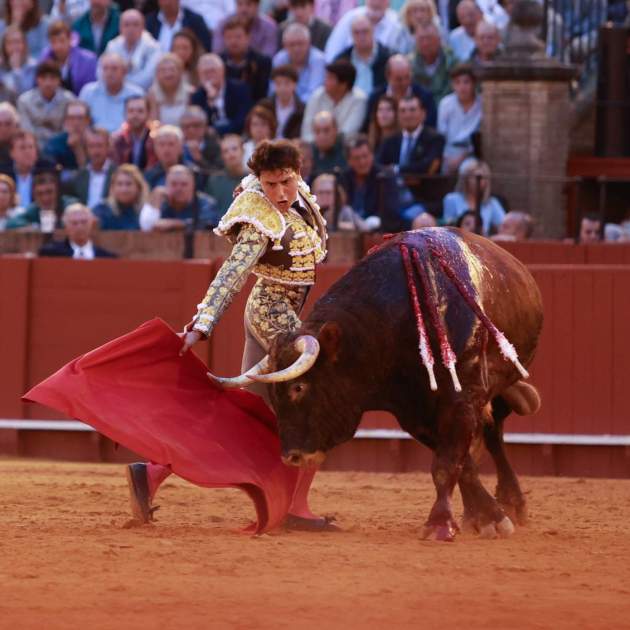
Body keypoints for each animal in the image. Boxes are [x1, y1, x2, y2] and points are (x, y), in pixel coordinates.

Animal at [210, 228, 544, 541]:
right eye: (273, 394)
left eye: (299, 388)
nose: (292, 457)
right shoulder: (414, 412)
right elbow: (460, 464)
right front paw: (480, 516)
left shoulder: (462, 397)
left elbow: (448, 463)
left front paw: (444, 525)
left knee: (494, 433)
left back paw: (513, 503)